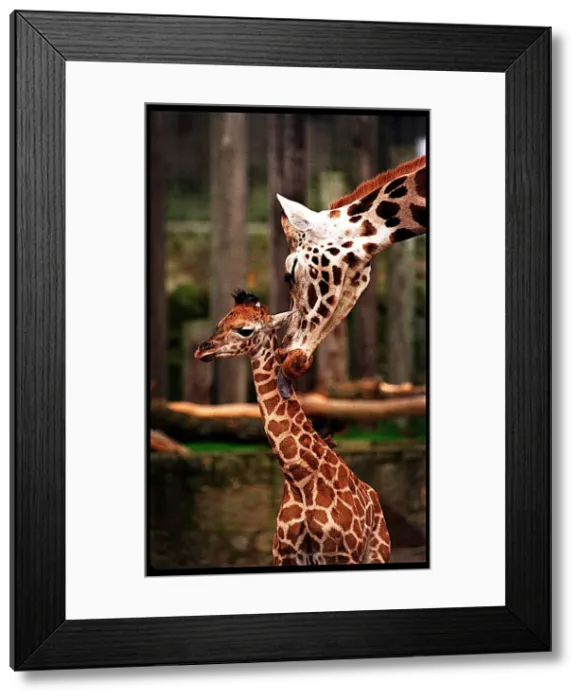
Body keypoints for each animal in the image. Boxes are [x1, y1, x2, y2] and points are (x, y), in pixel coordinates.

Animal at [194, 289, 392, 566]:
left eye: (245, 330)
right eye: (220, 323)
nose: (202, 350)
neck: (300, 478)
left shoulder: (340, 554)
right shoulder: (285, 554)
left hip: (377, 553)